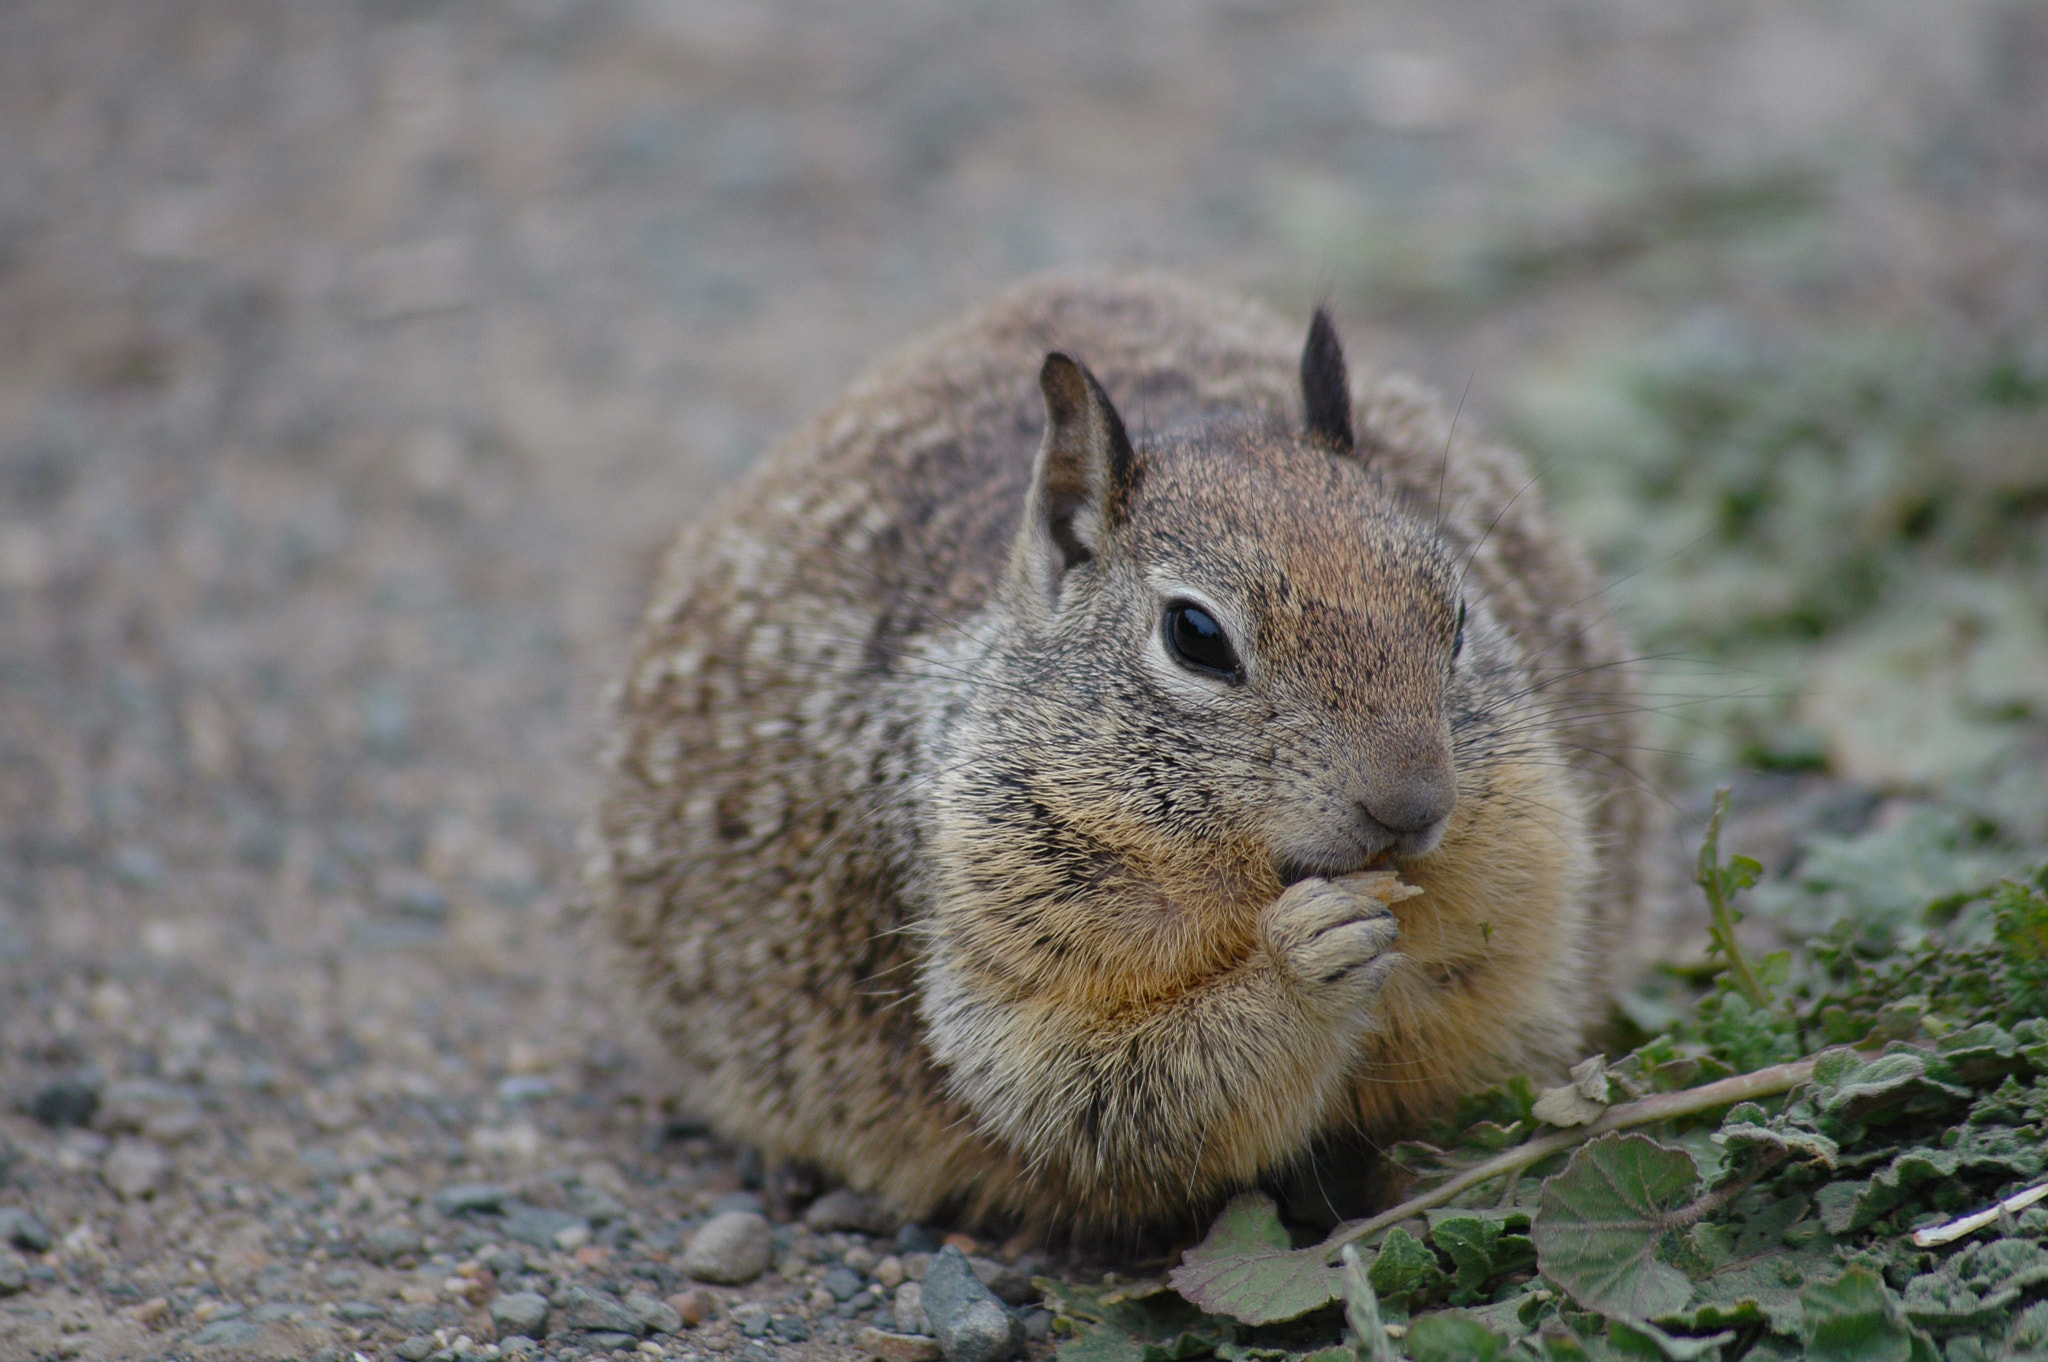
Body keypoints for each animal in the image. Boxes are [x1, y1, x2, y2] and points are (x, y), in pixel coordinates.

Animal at [591, 273, 1665, 1236]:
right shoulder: (1000, 940)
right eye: (1196, 636)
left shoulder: (1527, 870)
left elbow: (1476, 994)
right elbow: (1107, 1089)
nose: (1412, 808)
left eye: (1458, 616)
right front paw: (1307, 954)